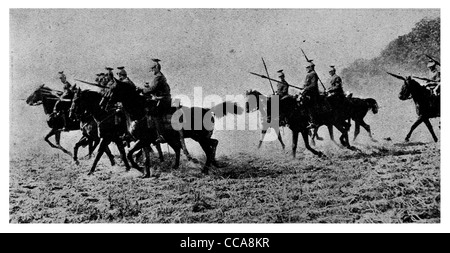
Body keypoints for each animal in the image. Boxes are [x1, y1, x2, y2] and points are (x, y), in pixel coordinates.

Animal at [100, 79, 244, 176]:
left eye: (112, 89)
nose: (103, 104)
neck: (139, 111)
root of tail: (208, 110)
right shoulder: (143, 140)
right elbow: (139, 155)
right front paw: (145, 172)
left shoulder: (144, 140)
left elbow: (131, 154)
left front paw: (141, 169)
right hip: (191, 138)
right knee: (208, 144)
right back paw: (180, 166)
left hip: (200, 138)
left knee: (208, 149)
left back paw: (205, 169)